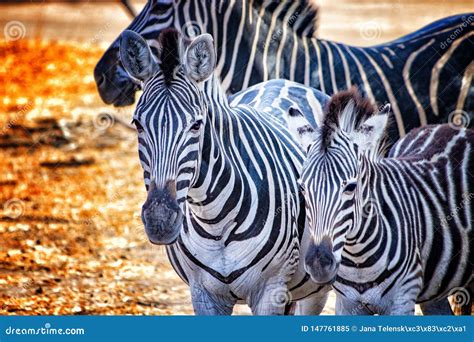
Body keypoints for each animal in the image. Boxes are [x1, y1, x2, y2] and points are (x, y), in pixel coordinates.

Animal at [120, 26, 332, 316]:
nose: (160, 221)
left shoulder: (271, 290)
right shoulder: (202, 293)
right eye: (137, 124)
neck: (215, 220)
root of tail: (285, 81)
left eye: (196, 125)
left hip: (315, 288)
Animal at [286, 88, 474, 316]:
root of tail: (447, 126)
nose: (318, 265)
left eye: (351, 187)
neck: (358, 260)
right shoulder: (347, 303)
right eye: (302, 188)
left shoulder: (403, 299)